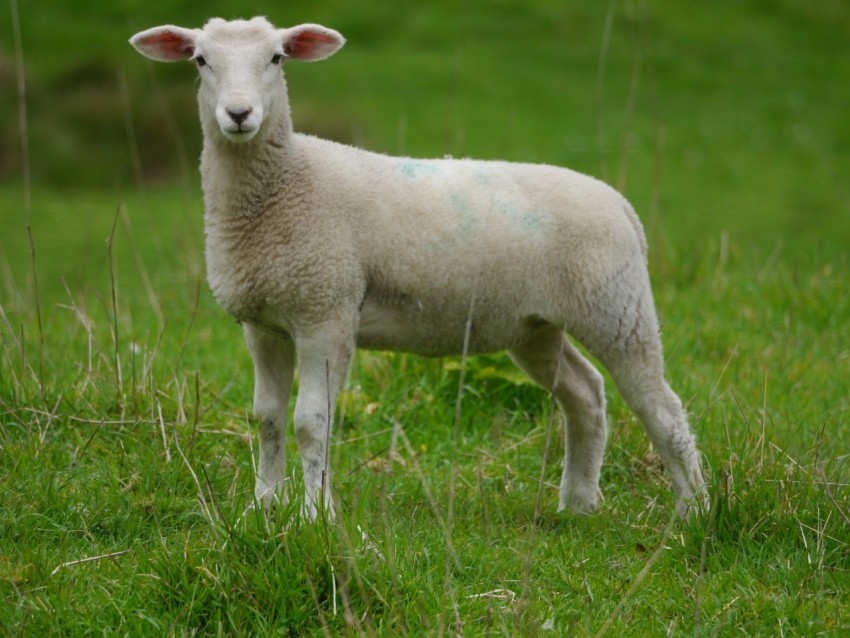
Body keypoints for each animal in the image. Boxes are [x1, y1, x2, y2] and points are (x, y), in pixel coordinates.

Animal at [129, 16, 706, 521]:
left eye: (276, 57)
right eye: (201, 60)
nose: (239, 114)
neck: (284, 184)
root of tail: (624, 207)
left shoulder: (326, 312)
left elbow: (311, 423)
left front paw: (316, 517)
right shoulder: (265, 323)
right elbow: (268, 420)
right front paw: (264, 508)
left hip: (617, 308)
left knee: (662, 408)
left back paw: (695, 512)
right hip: (536, 326)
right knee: (585, 396)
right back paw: (578, 506)